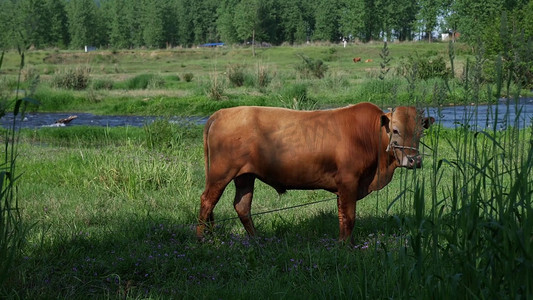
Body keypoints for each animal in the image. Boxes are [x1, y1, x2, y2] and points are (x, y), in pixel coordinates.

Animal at [195, 102, 432, 243]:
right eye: (395, 130)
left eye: (420, 132)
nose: (414, 160)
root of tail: (222, 112)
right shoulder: (349, 181)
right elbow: (349, 217)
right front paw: (345, 247)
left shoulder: (343, 187)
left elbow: (342, 217)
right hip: (221, 173)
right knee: (207, 202)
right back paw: (200, 241)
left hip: (245, 176)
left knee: (242, 206)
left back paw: (257, 241)